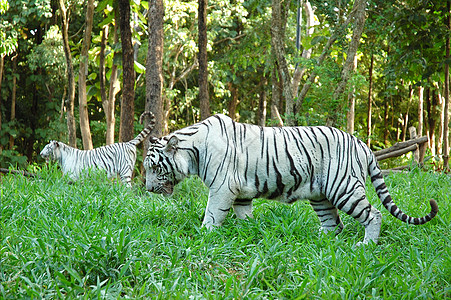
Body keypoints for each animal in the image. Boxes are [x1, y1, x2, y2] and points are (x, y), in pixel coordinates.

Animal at [144, 113, 438, 245]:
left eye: (154, 167)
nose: (147, 188)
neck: (192, 149)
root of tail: (361, 144)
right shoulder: (239, 193)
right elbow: (243, 214)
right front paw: (248, 231)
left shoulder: (221, 188)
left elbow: (212, 214)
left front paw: (205, 233)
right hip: (321, 196)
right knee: (334, 225)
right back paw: (316, 240)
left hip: (344, 188)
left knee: (373, 214)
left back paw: (366, 245)